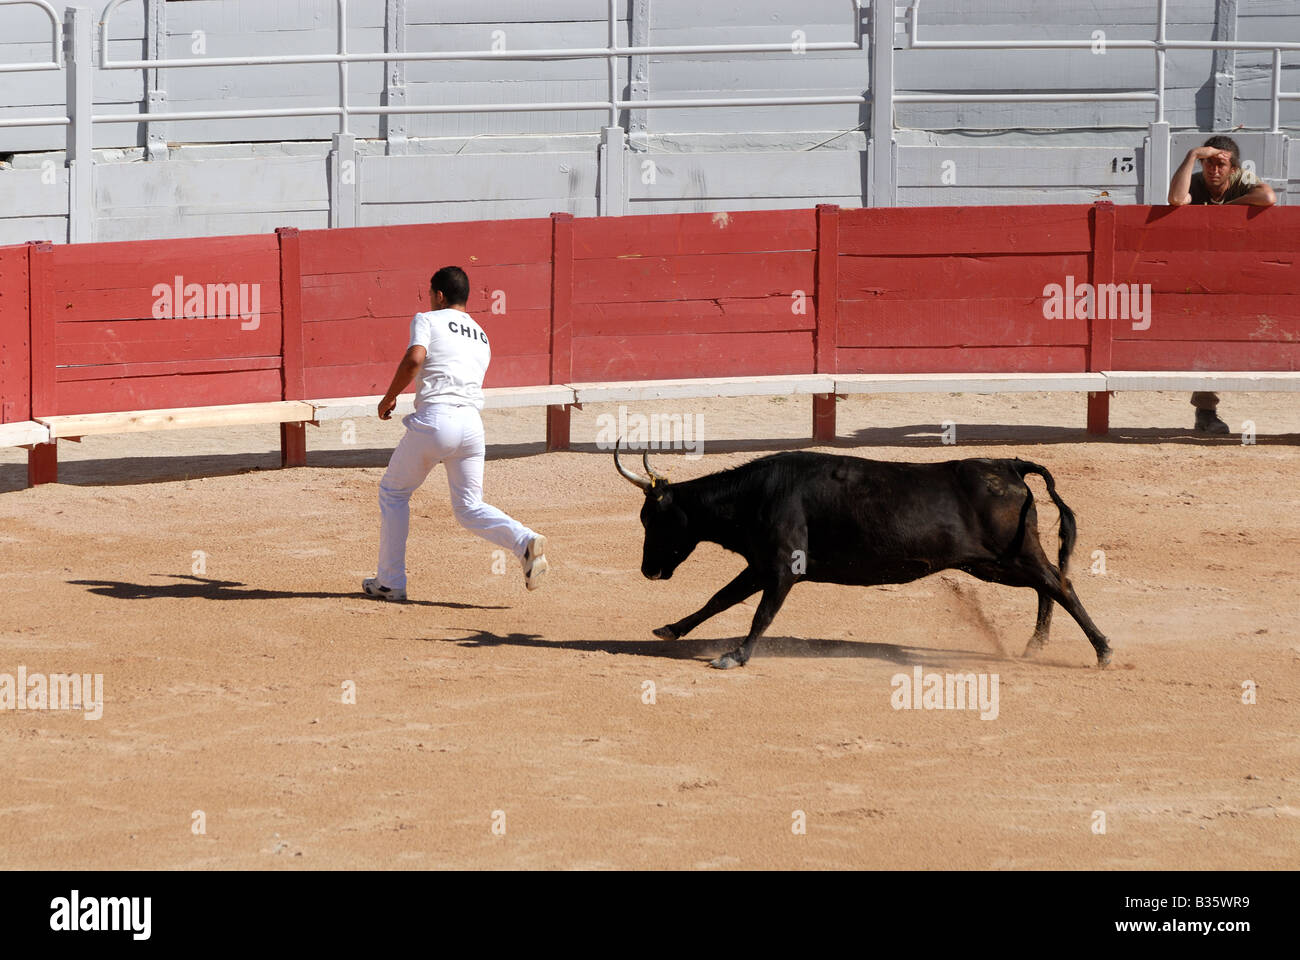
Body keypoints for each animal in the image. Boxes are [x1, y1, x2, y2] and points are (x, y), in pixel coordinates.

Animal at [613, 444, 1112, 671]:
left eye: (654, 520)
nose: (648, 570)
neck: (756, 493)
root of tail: (1009, 465)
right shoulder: (760, 566)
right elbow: (719, 599)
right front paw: (670, 629)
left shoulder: (781, 568)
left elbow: (760, 614)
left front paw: (735, 656)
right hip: (997, 563)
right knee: (1048, 585)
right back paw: (1035, 645)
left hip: (1009, 558)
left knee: (1060, 584)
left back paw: (1103, 650)